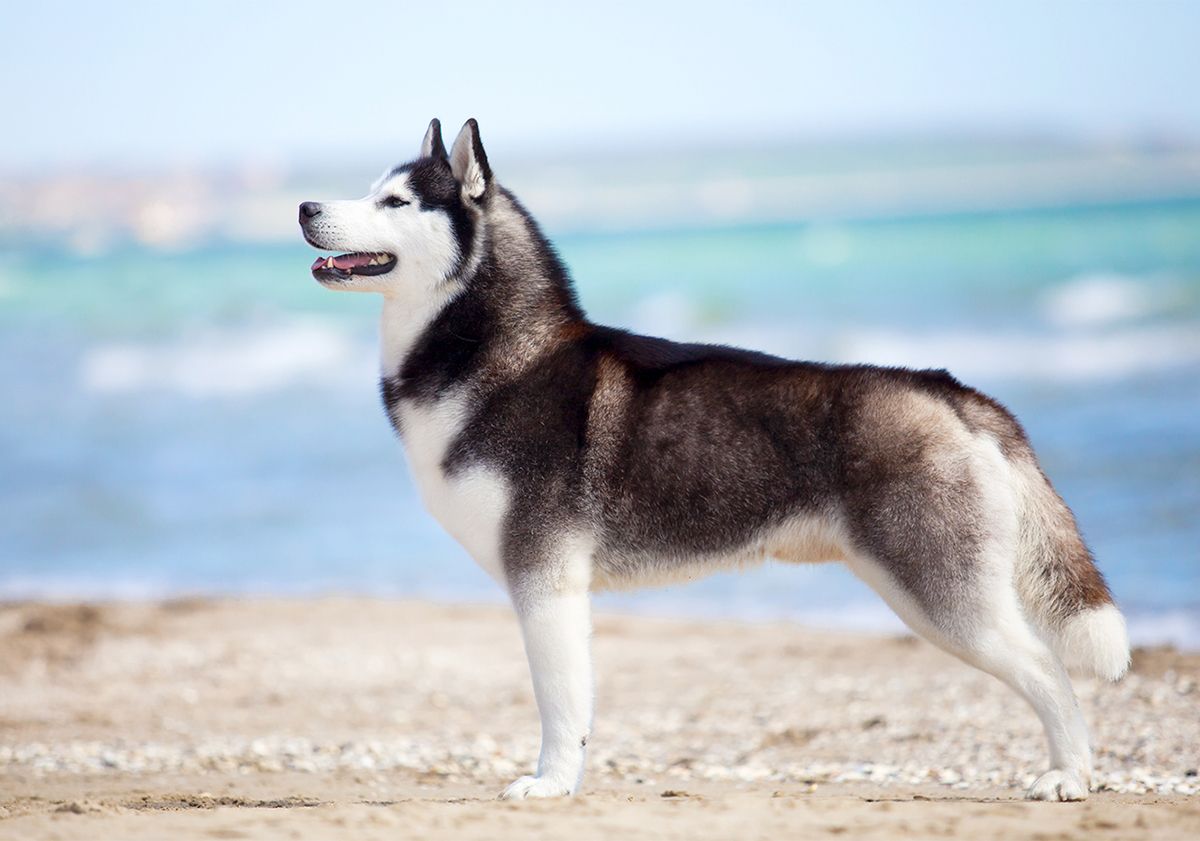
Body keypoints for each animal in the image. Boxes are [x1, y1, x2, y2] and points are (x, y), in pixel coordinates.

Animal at [295, 118, 1128, 801]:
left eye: (396, 200)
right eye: (368, 189)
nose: (303, 207)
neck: (498, 353)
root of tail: (947, 388)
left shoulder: (544, 577)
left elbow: (558, 700)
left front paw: (550, 783)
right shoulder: (559, 587)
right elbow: (576, 698)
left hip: (943, 596)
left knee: (1048, 670)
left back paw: (1069, 775)